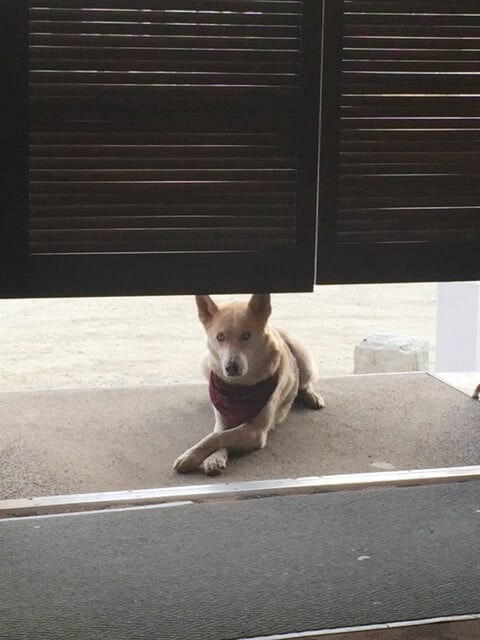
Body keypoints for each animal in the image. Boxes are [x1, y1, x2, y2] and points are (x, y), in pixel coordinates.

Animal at [172, 296, 322, 476]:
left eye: (246, 335)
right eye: (220, 337)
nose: (231, 367)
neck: (239, 387)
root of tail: (275, 329)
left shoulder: (255, 431)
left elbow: (217, 437)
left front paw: (191, 457)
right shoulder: (223, 416)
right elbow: (217, 433)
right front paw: (214, 457)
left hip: (302, 356)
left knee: (305, 382)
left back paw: (311, 396)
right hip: (205, 363)